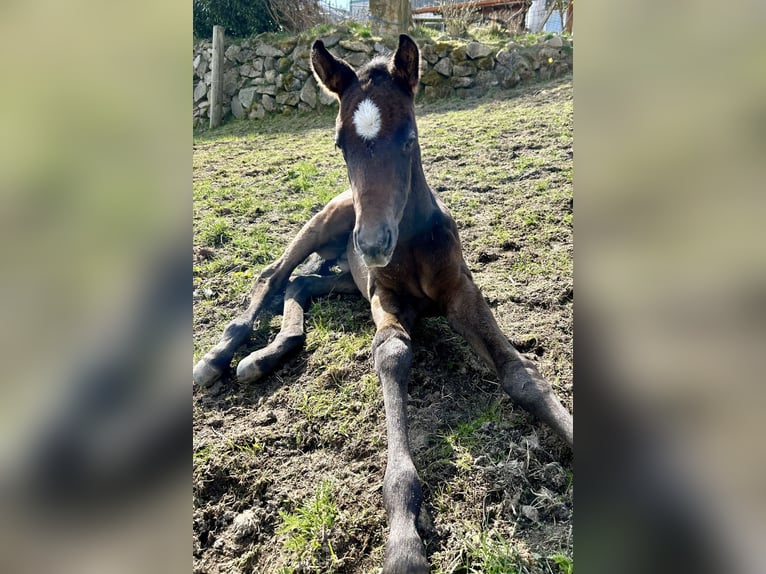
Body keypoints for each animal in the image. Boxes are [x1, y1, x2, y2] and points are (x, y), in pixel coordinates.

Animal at [193, 34, 573, 574]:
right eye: (339, 143)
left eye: (409, 136)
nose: (373, 245)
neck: (411, 243)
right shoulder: (385, 300)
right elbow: (392, 355)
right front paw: (403, 541)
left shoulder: (462, 293)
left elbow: (521, 373)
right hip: (324, 225)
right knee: (274, 277)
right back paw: (218, 357)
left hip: (346, 279)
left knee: (301, 285)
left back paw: (265, 356)